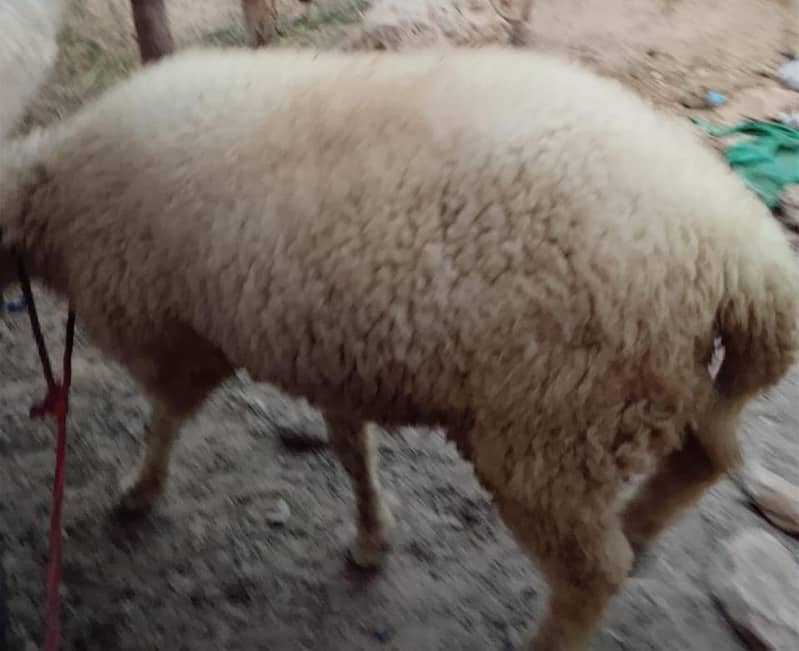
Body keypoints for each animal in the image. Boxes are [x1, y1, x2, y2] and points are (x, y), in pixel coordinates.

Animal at [2, 42, 799, 651]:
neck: (52, 192)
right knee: (707, 457)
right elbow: (350, 446)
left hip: (555, 430)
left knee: (591, 570)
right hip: (658, 388)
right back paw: (641, 525)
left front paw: (139, 490)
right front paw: (370, 535)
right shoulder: (326, 346)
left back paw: (564, 620)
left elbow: (166, 417)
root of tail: (743, 258)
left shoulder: (174, 337)